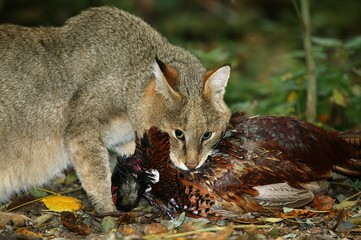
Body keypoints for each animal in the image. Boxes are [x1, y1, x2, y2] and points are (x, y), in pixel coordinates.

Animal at [0, 7, 231, 214]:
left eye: (207, 135)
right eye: (178, 133)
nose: (192, 165)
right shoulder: (81, 133)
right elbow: (97, 173)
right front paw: (108, 210)